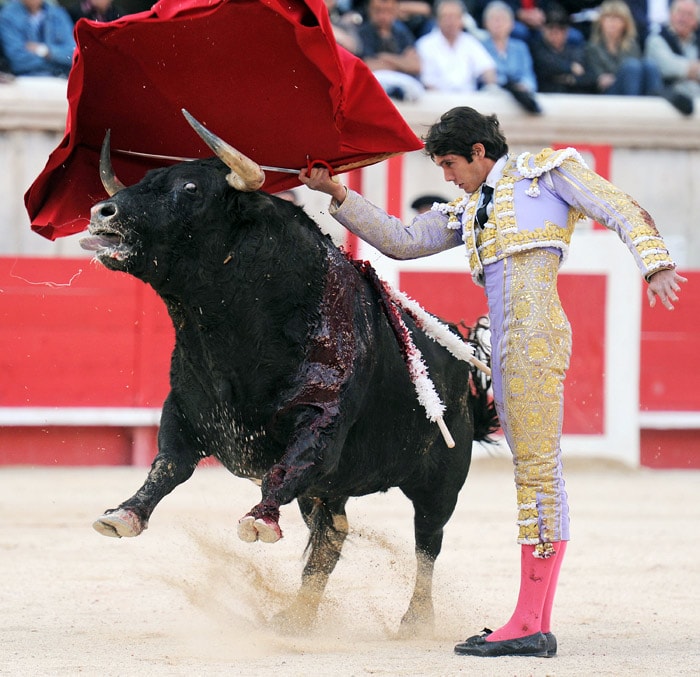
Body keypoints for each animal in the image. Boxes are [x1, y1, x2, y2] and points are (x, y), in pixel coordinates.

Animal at [79, 112, 498, 632]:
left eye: (191, 187)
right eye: (144, 179)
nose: (103, 212)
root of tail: (461, 360)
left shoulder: (322, 420)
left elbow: (289, 465)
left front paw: (259, 518)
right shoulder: (184, 408)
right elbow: (168, 464)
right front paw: (123, 514)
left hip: (440, 478)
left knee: (427, 541)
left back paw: (415, 620)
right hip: (334, 489)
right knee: (332, 536)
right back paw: (298, 616)